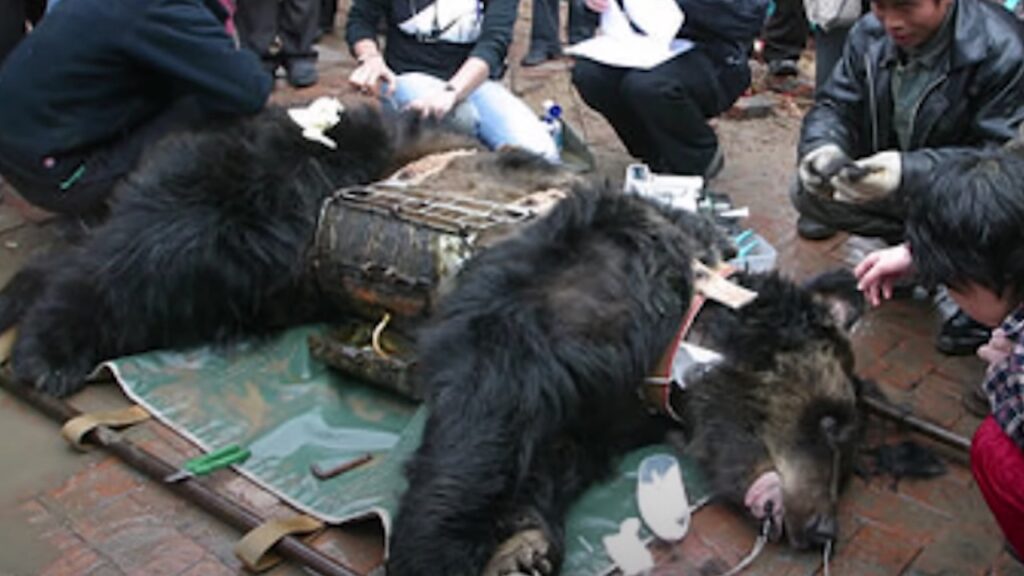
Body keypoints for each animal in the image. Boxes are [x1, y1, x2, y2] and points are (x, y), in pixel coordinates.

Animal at [389, 186, 864, 569]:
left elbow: (557, 455)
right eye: (830, 421)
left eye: (846, 458)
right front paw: (437, 549)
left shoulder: (606, 412)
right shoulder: (553, 307)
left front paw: (524, 542)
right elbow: (483, 419)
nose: (825, 529)